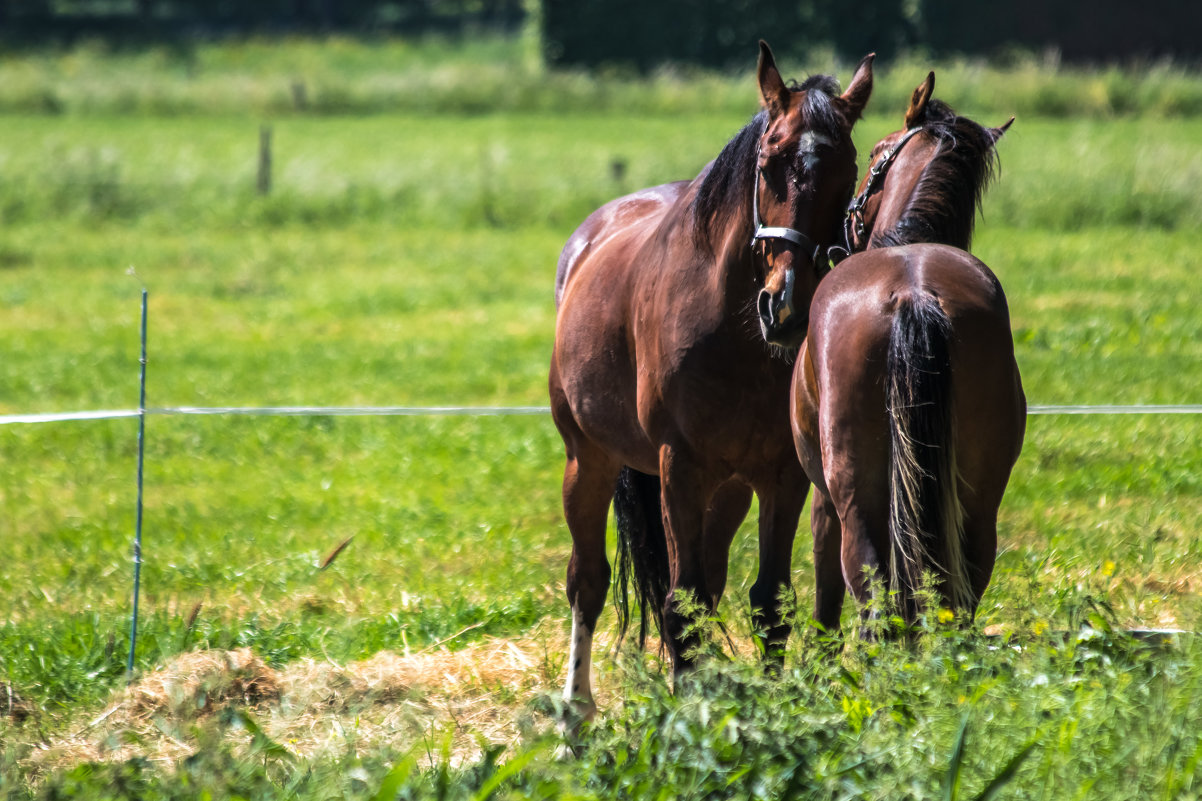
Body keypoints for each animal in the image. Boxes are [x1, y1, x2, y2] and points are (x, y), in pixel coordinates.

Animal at [550, 40, 870, 721]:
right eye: (770, 162)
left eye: (849, 169)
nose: (786, 305)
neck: (733, 335)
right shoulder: (680, 466)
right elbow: (679, 604)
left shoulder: (779, 476)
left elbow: (768, 602)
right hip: (587, 459)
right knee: (587, 581)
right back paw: (577, 716)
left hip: (726, 492)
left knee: (712, 584)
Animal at [793, 71, 1028, 625]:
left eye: (874, 151)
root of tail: (913, 294)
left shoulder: (822, 496)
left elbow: (827, 592)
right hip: (976, 501)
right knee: (958, 592)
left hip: (855, 496)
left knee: (871, 592)